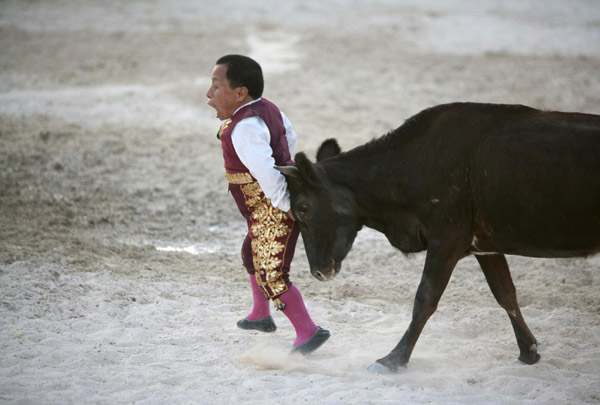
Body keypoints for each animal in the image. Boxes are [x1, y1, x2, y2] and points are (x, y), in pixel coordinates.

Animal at [278, 102, 600, 372]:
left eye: (302, 208)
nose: (319, 272)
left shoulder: (447, 240)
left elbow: (425, 298)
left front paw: (393, 359)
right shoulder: (485, 246)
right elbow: (505, 293)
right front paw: (528, 351)